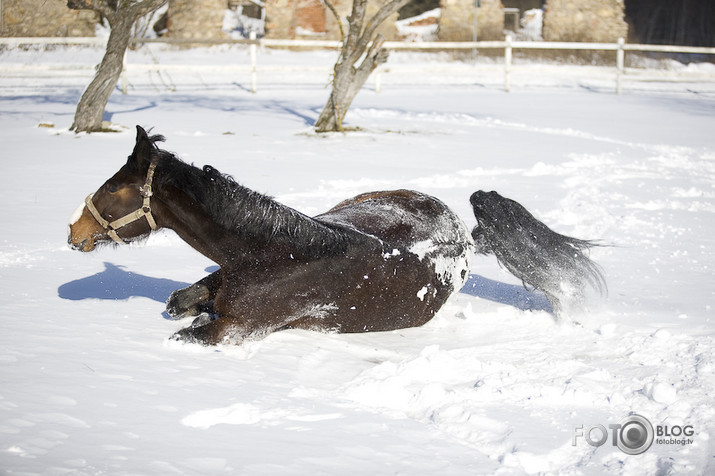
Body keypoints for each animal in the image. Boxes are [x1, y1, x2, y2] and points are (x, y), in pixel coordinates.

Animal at [68, 126, 604, 346]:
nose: (74, 232)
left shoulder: (232, 332)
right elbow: (181, 300)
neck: (274, 257)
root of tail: (463, 232)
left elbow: (191, 327)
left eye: (114, 188)